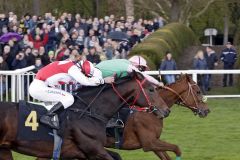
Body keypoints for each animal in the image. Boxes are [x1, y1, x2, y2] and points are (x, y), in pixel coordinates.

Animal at [0, 72, 171, 159]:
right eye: (151, 89)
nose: (166, 110)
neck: (90, 112)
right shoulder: (93, 149)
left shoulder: (81, 152)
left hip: (5, 149)